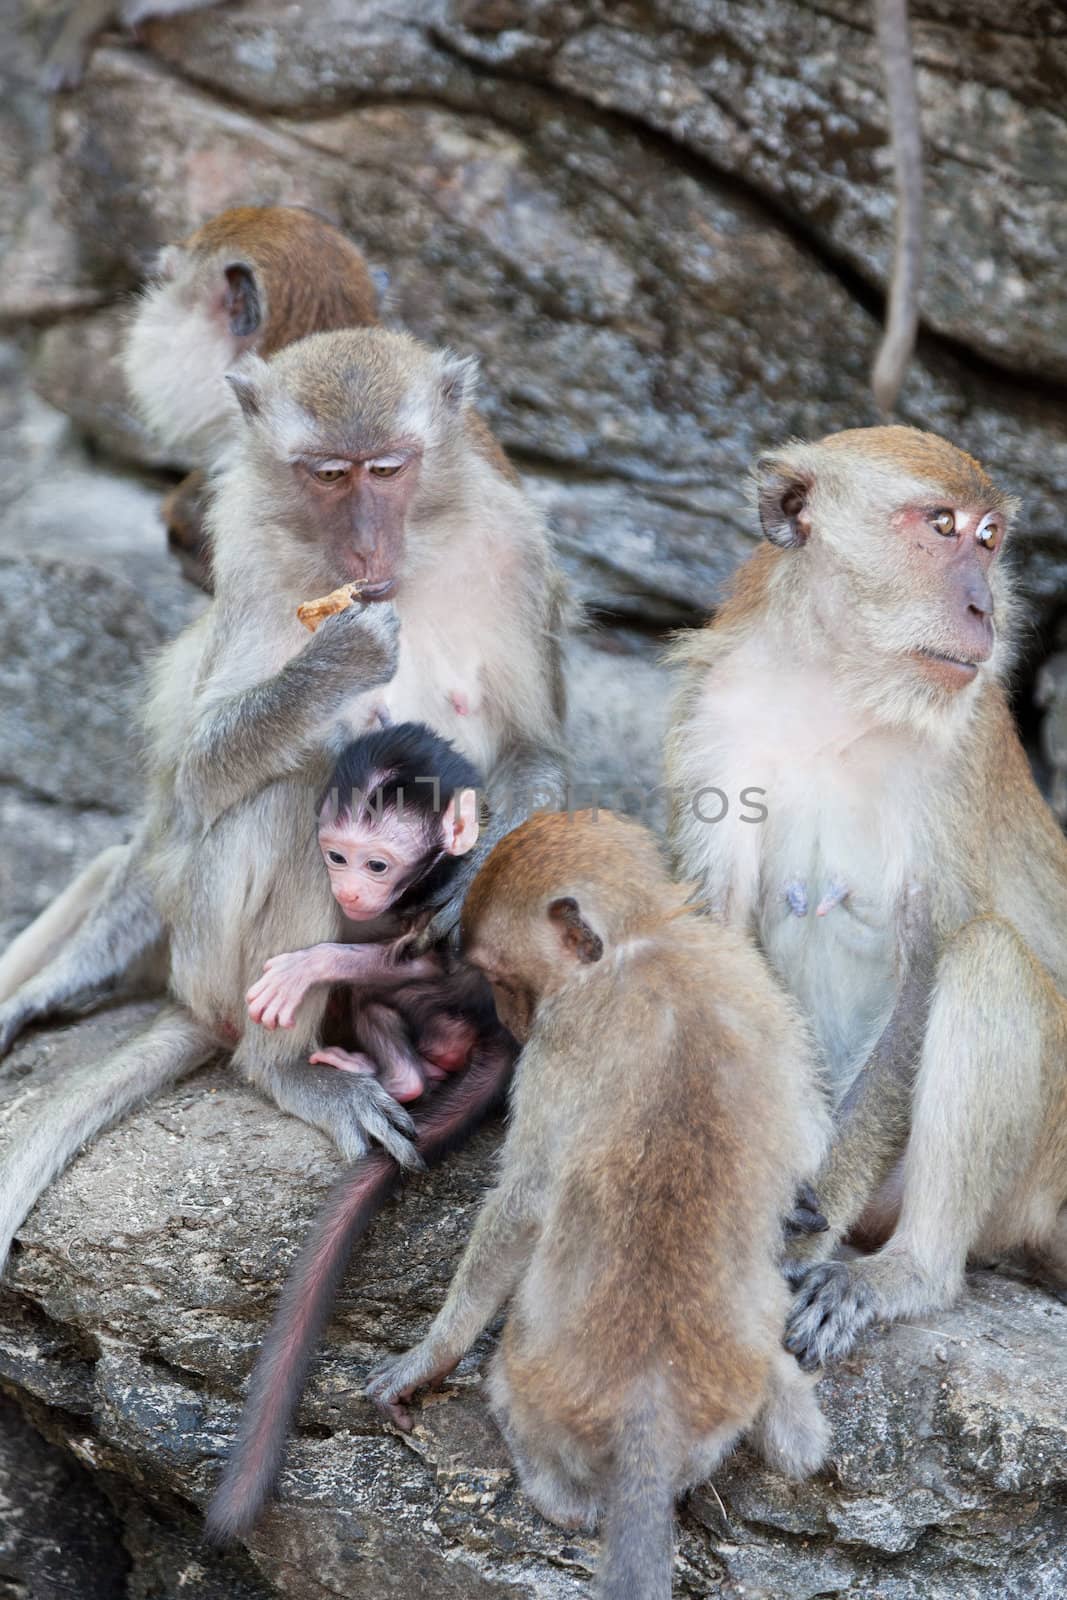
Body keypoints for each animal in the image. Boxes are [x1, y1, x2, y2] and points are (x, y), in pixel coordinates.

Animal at [244, 723, 483, 1107]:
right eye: (337, 858)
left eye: (377, 866)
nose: (348, 891)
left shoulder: (442, 898)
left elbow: (424, 964)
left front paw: (305, 967)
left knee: (368, 994)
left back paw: (398, 1078)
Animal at [363, 812, 831, 1600]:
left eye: (500, 977)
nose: (512, 1020)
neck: (644, 940)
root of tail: (651, 1406)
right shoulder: (750, 976)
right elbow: (804, 1140)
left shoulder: (562, 1040)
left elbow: (524, 1202)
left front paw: (429, 1355)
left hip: (537, 1381)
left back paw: (553, 1489)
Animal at [668, 428, 1067, 1376]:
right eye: (941, 526)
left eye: (989, 538)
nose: (983, 609)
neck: (837, 688)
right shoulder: (714, 719)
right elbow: (714, 936)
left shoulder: (958, 748)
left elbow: (930, 961)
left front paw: (803, 1225)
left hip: (1039, 1175)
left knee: (989, 957)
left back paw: (905, 1273)